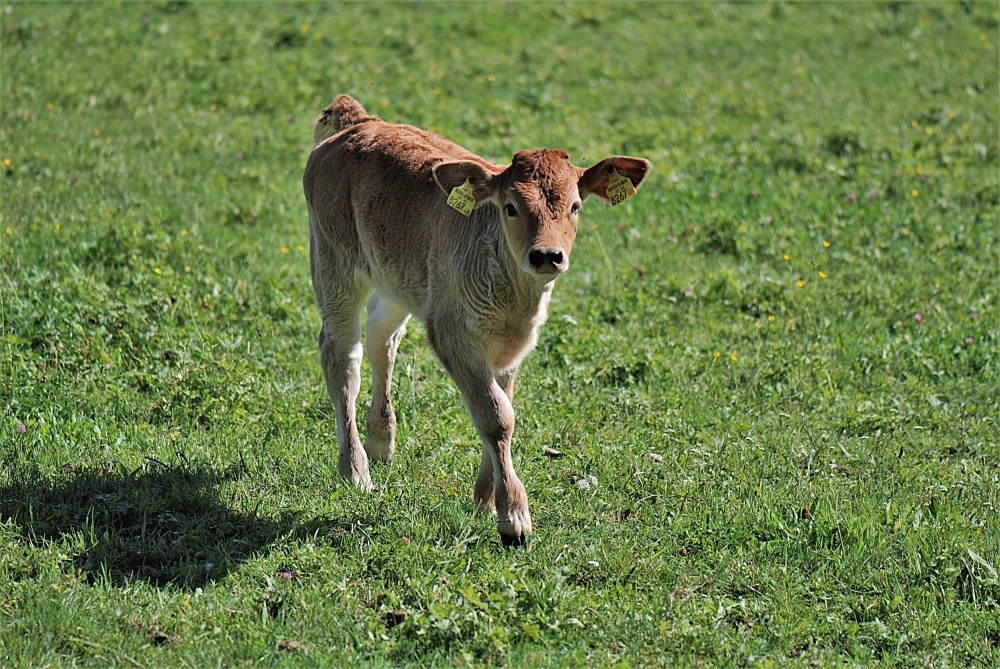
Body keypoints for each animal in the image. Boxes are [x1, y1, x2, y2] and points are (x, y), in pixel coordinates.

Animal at [303, 95, 650, 547]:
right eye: (510, 207)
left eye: (575, 206)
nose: (547, 256)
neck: (514, 301)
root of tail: (359, 121)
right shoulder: (453, 335)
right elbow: (497, 416)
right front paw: (514, 518)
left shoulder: (512, 348)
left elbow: (502, 406)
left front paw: (485, 498)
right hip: (335, 264)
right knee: (342, 357)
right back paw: (356, 471)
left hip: (398, 280)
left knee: (382, 336)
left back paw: (381, 442)